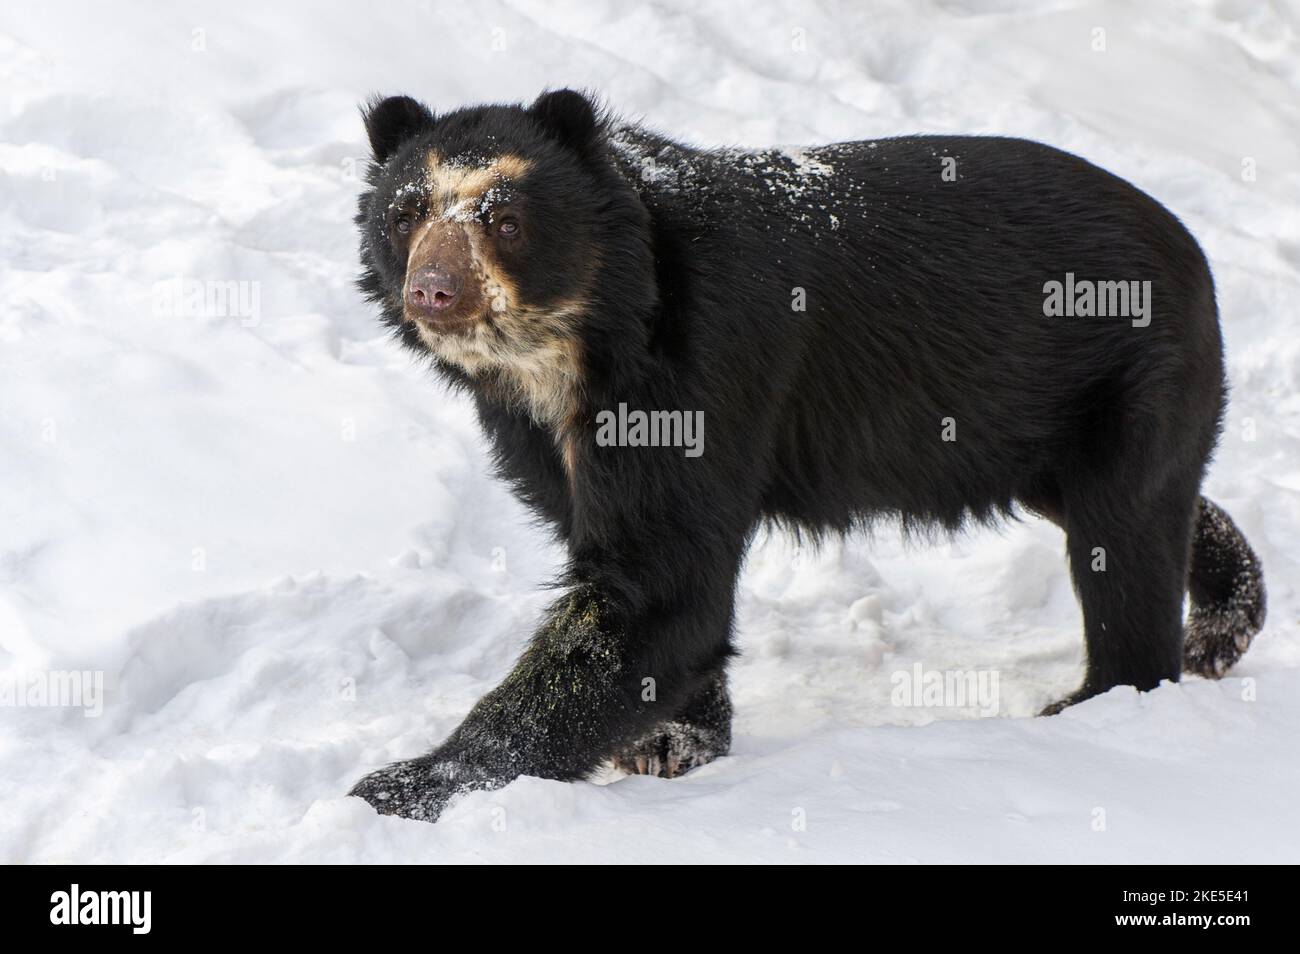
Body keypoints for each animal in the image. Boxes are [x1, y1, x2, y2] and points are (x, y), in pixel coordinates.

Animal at [351, 87, 1263, 821]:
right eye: (405, 214)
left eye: (506, 220)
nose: (433, 290)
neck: (576, 346)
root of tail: (1192, 247)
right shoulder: (541, 438)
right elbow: (646, 579)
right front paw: (671, 744)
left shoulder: (702, 368)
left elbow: (662, 586)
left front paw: (399, 786)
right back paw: (1223, 621)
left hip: (1132, 374)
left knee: (1125, 536)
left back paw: (1101, 702)